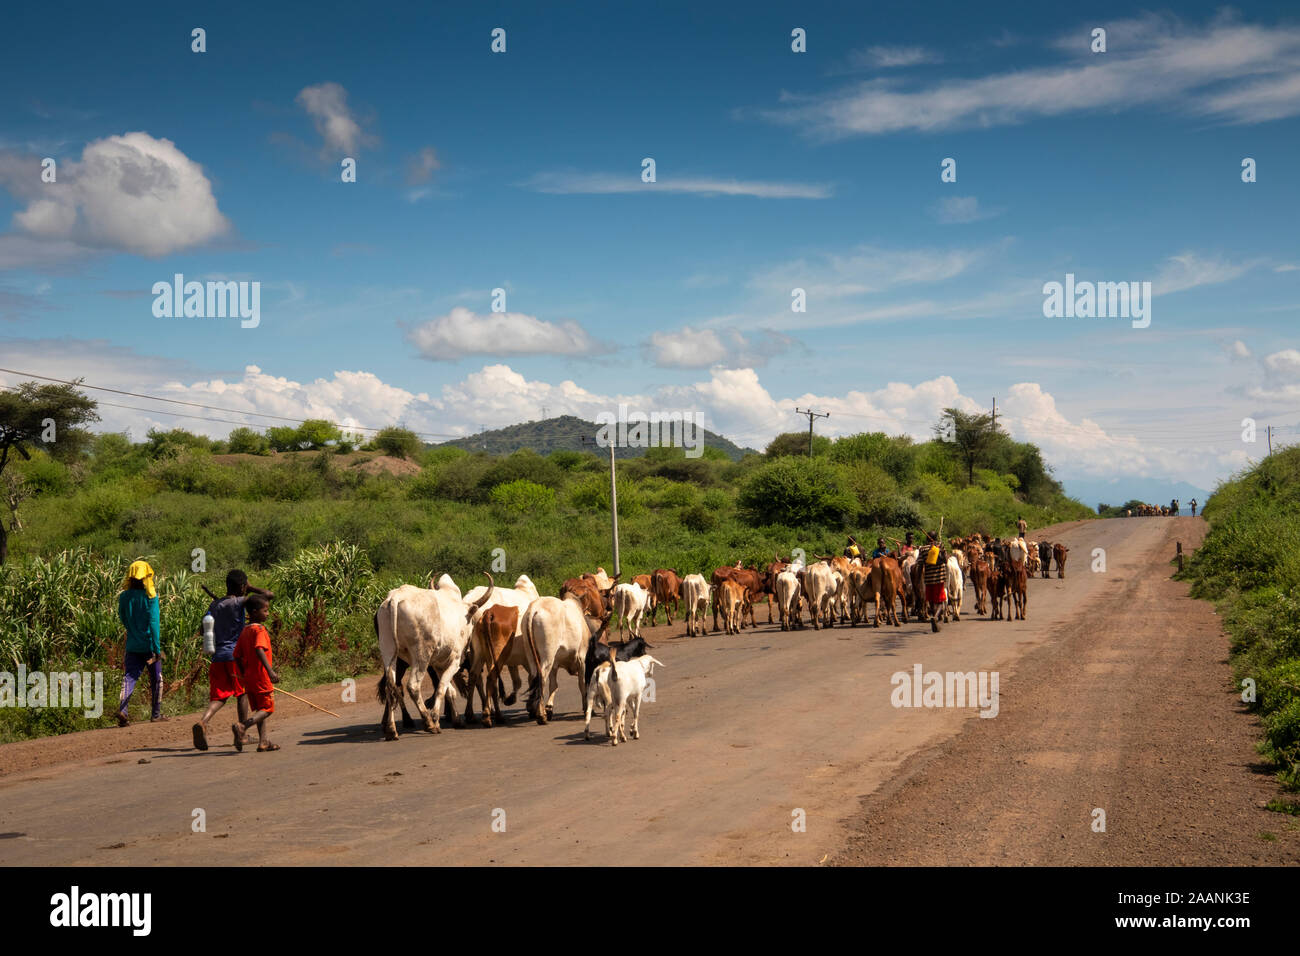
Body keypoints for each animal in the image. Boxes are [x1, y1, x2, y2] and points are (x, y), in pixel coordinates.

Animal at [382, 574, 493, 738]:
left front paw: (457, 720)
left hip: (388, 652)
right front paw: (435, 717)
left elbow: (449, 691)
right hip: (421, 655)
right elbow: (442, 688)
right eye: (472, 622)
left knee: (390, 687)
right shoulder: (454, 661)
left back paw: (391, 730)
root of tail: (396, 597)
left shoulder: (439, 665)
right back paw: (429, 723)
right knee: (413, 686)